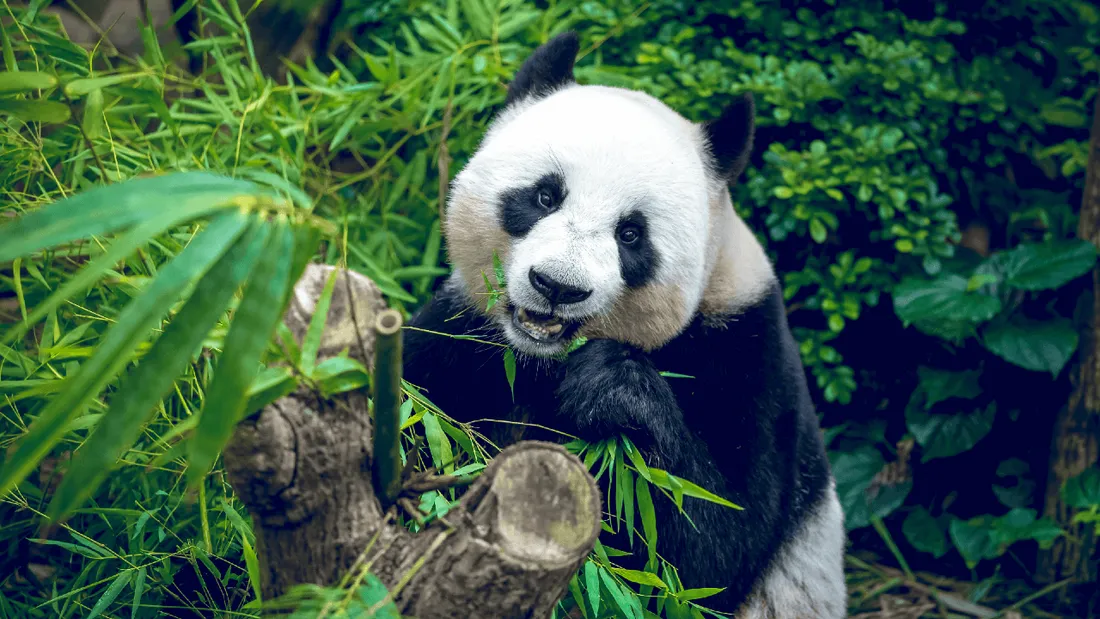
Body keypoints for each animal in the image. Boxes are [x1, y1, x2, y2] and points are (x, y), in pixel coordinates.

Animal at [402, 31, 848, 618]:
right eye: (545, 195)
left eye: (631, 234)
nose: (558, 286)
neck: (539, 361)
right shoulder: (459, 335)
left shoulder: (747, 353)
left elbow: (705, 556)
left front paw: (610, 389)